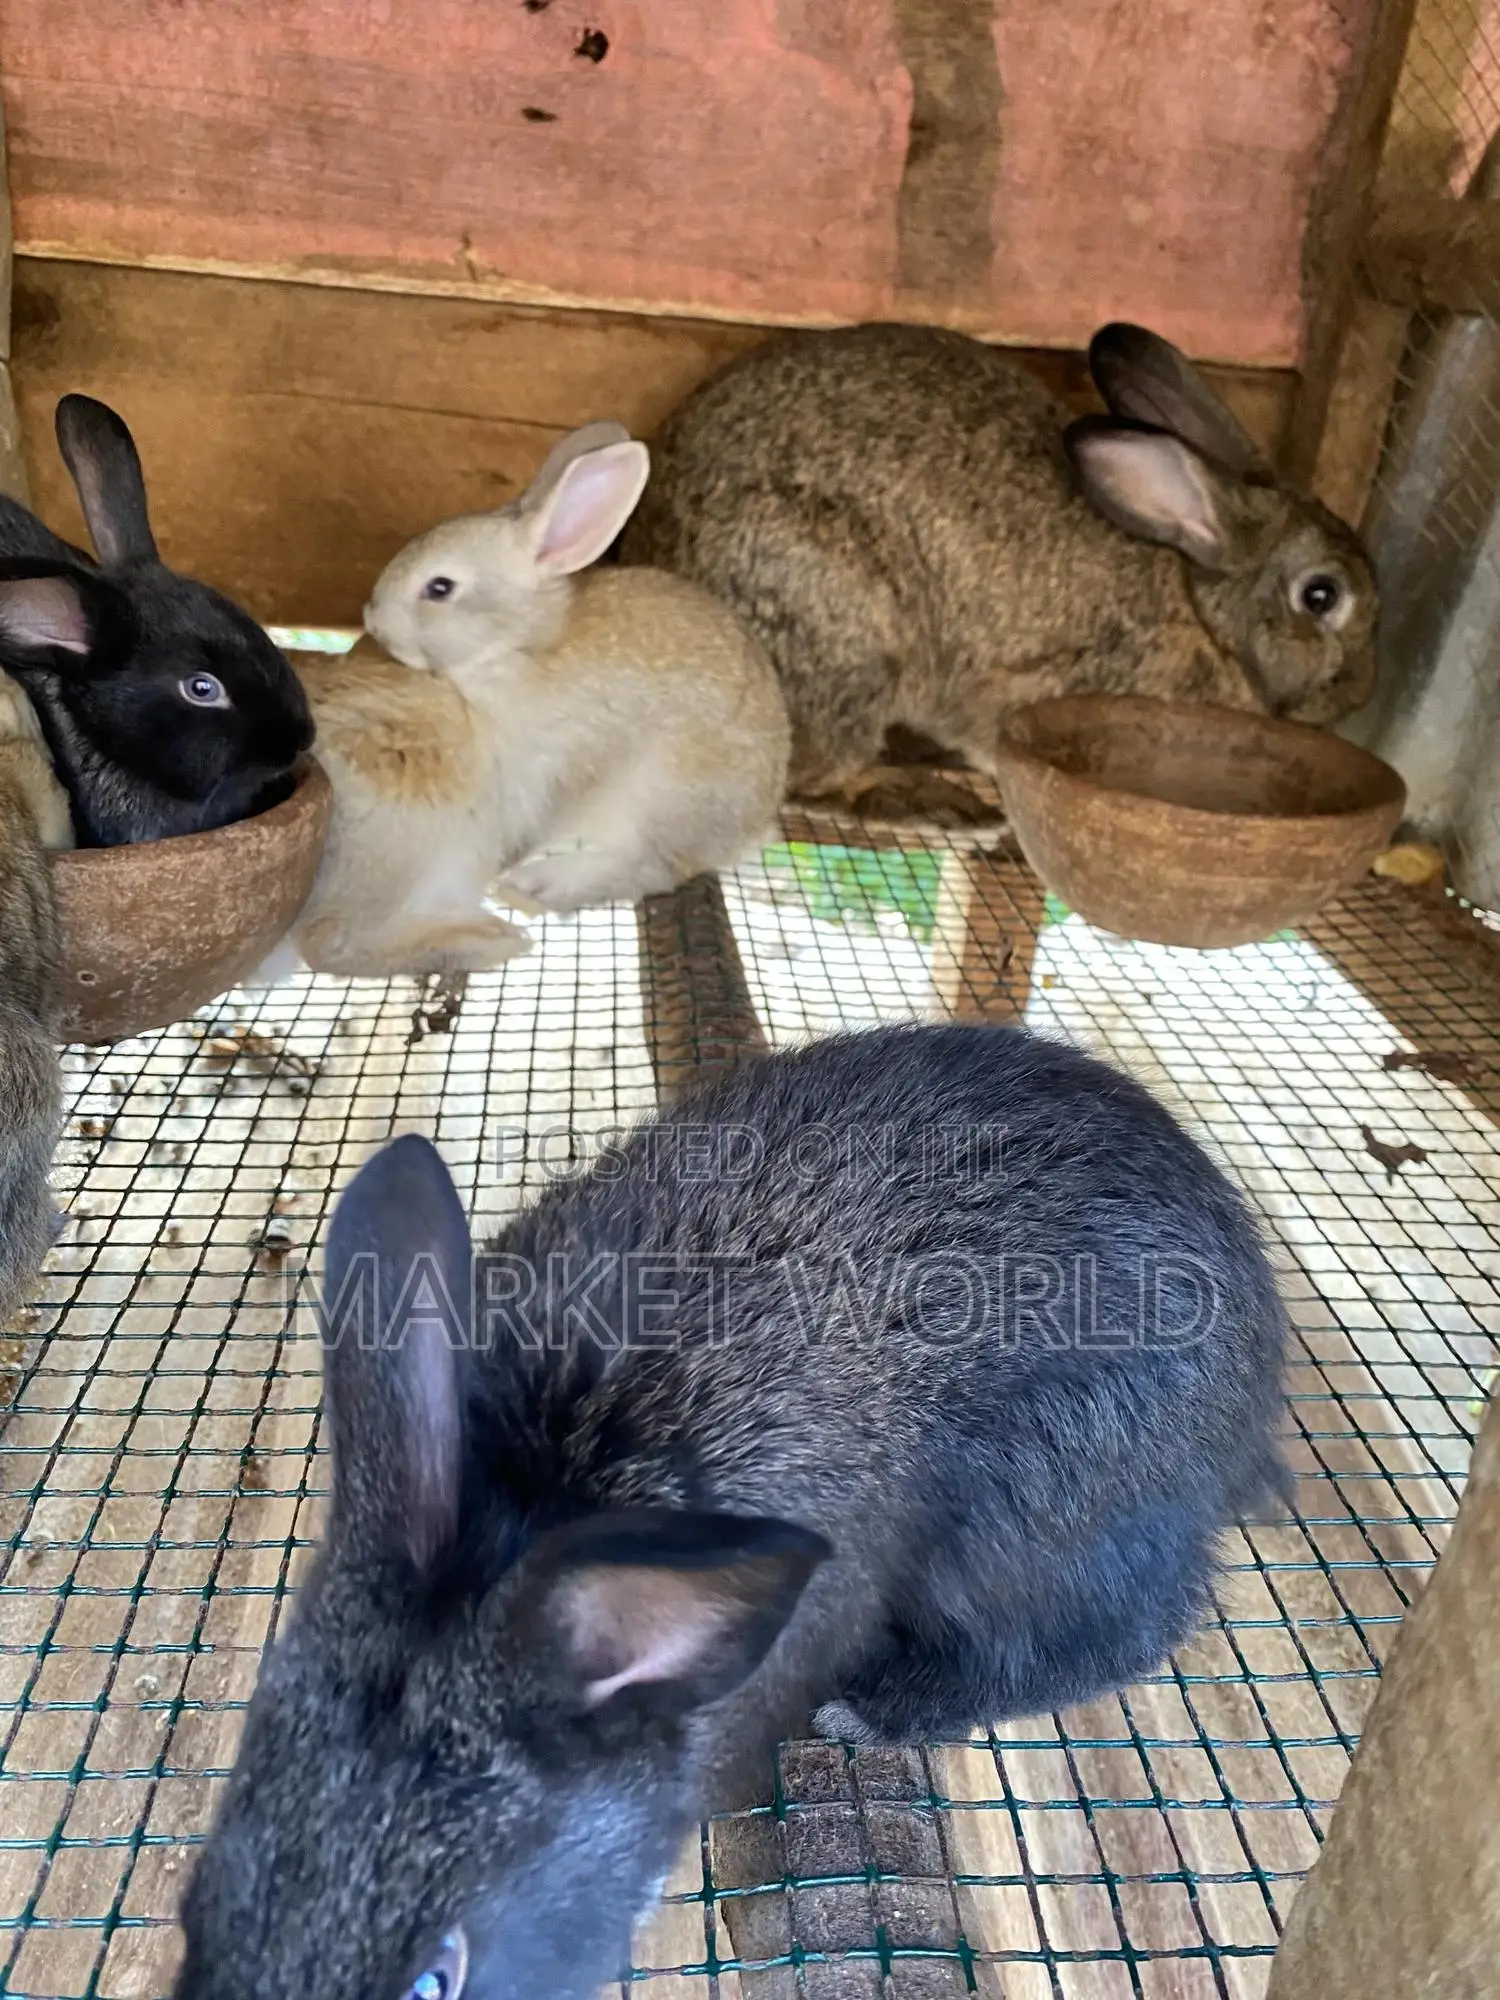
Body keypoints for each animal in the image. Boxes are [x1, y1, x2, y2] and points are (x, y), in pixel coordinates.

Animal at [173, 1021, 1289, 2000]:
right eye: (199, 1897)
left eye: (433, 1977)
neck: (550, 1478)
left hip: (1031, 1526)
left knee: (1117, 1632)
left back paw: (878, 1705)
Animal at [362, 419, 789, 916]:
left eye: (440, 587)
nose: (373, 621)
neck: (514, 649)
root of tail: (756, 822)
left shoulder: (562, 772)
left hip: (668, 798)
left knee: (648, 868)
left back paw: (539, 886)